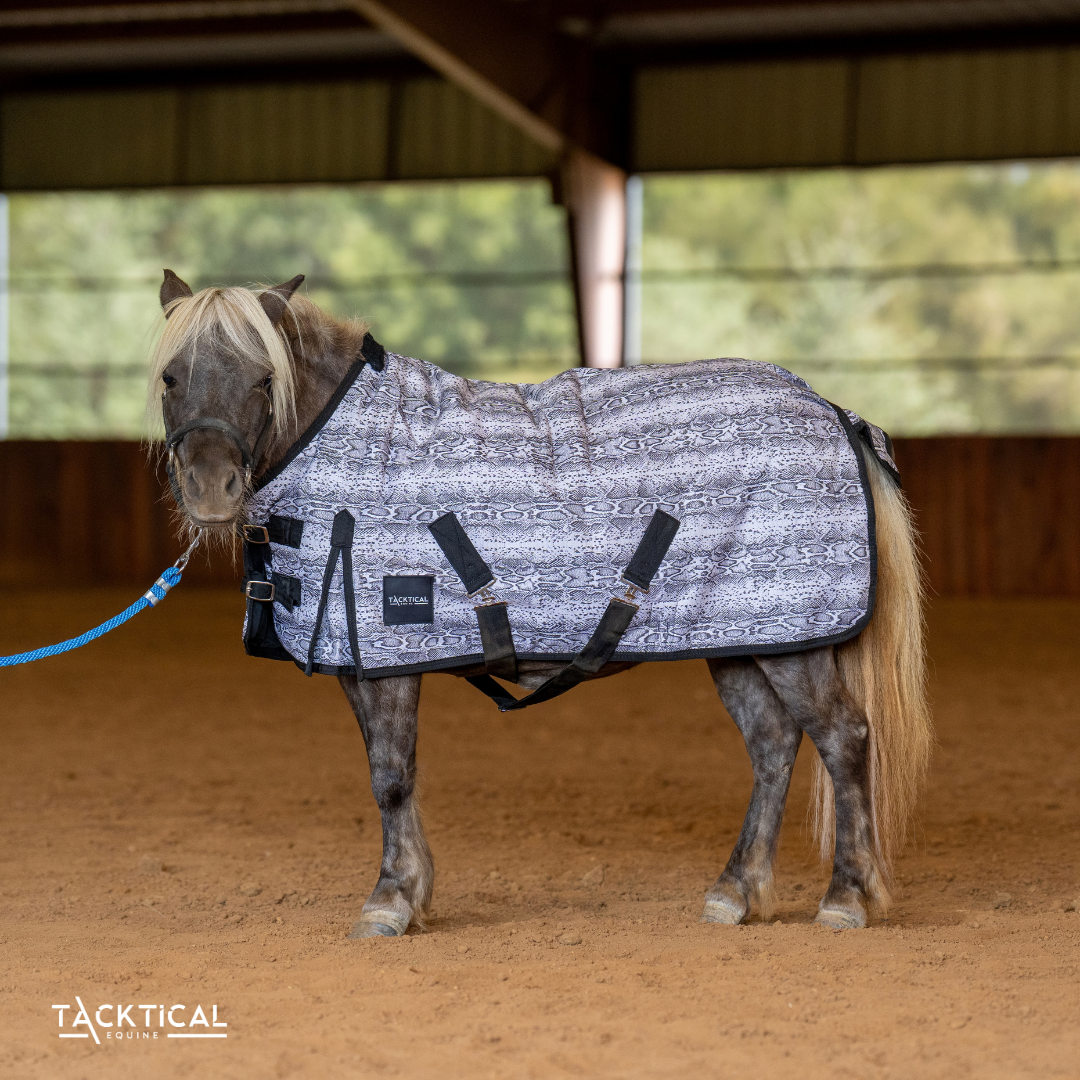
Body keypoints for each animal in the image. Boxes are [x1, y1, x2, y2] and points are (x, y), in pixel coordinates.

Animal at [148, 270, 931, 937]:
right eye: (170, 377)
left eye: (263, 377)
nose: (211, 491)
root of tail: (831, 411)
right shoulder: (359, 662)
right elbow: (390, 772)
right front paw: (414, 892)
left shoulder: (387, 658)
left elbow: (392, 776)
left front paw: (392, 899)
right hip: (741, 641)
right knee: (772, 747)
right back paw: (736, 892)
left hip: (797, 643)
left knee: (843, 739)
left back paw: (846, 898)